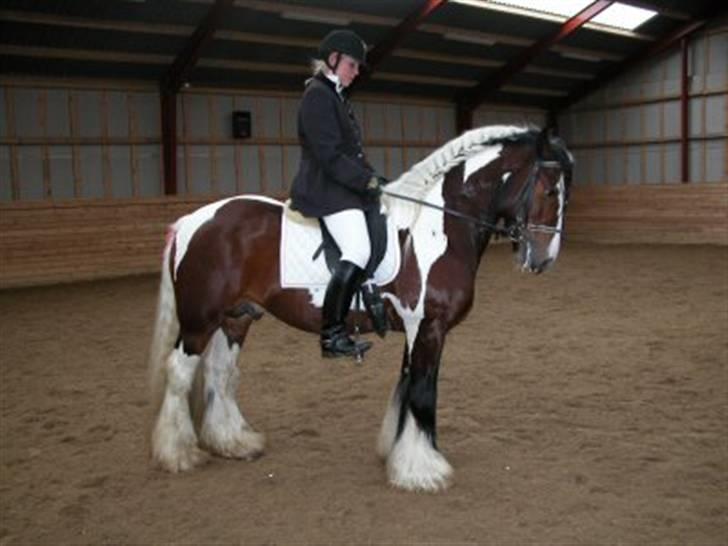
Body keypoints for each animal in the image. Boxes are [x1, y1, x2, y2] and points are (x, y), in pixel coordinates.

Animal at [148, 123, 576, 488]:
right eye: (551, 192)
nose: (544, 259)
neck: (437, 226)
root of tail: (192, 220)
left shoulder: (415, 328)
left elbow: (406, 384)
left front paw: (397, 452)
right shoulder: (429, 326)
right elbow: (423, 390)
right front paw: (423, 470)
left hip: (235, 318)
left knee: (220, 373)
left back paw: (234, 443)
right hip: (200, 321)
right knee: (180, 373)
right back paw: (178, 454)